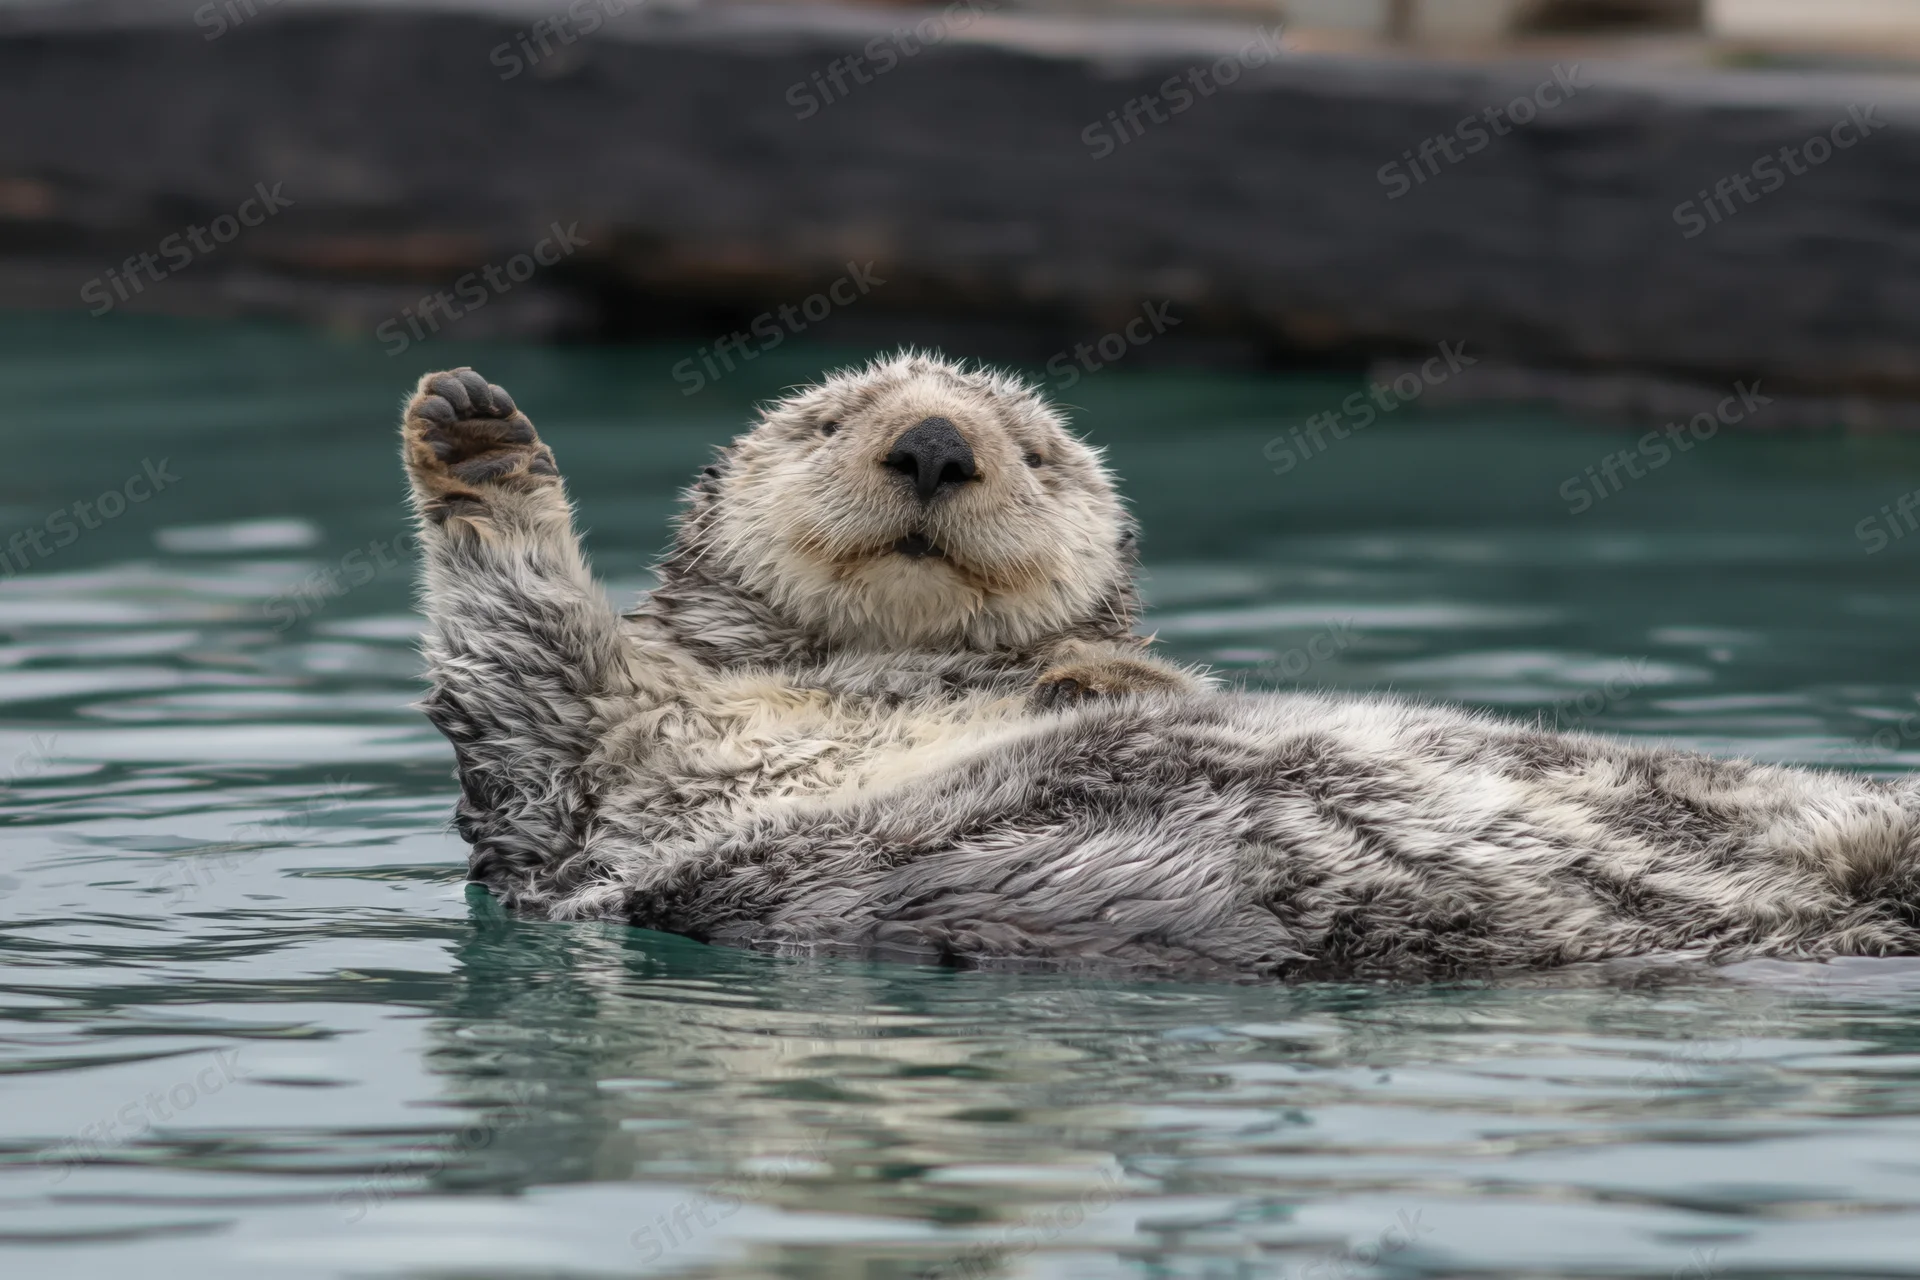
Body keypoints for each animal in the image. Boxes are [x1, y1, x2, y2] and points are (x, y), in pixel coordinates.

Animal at [400, 352, 1920, 980]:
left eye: (1035, 447)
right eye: (829, 420)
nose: (935, 443)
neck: (873, 670)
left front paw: (1097, 682)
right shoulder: (581, 778)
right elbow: (519, 657)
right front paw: (476, 446)